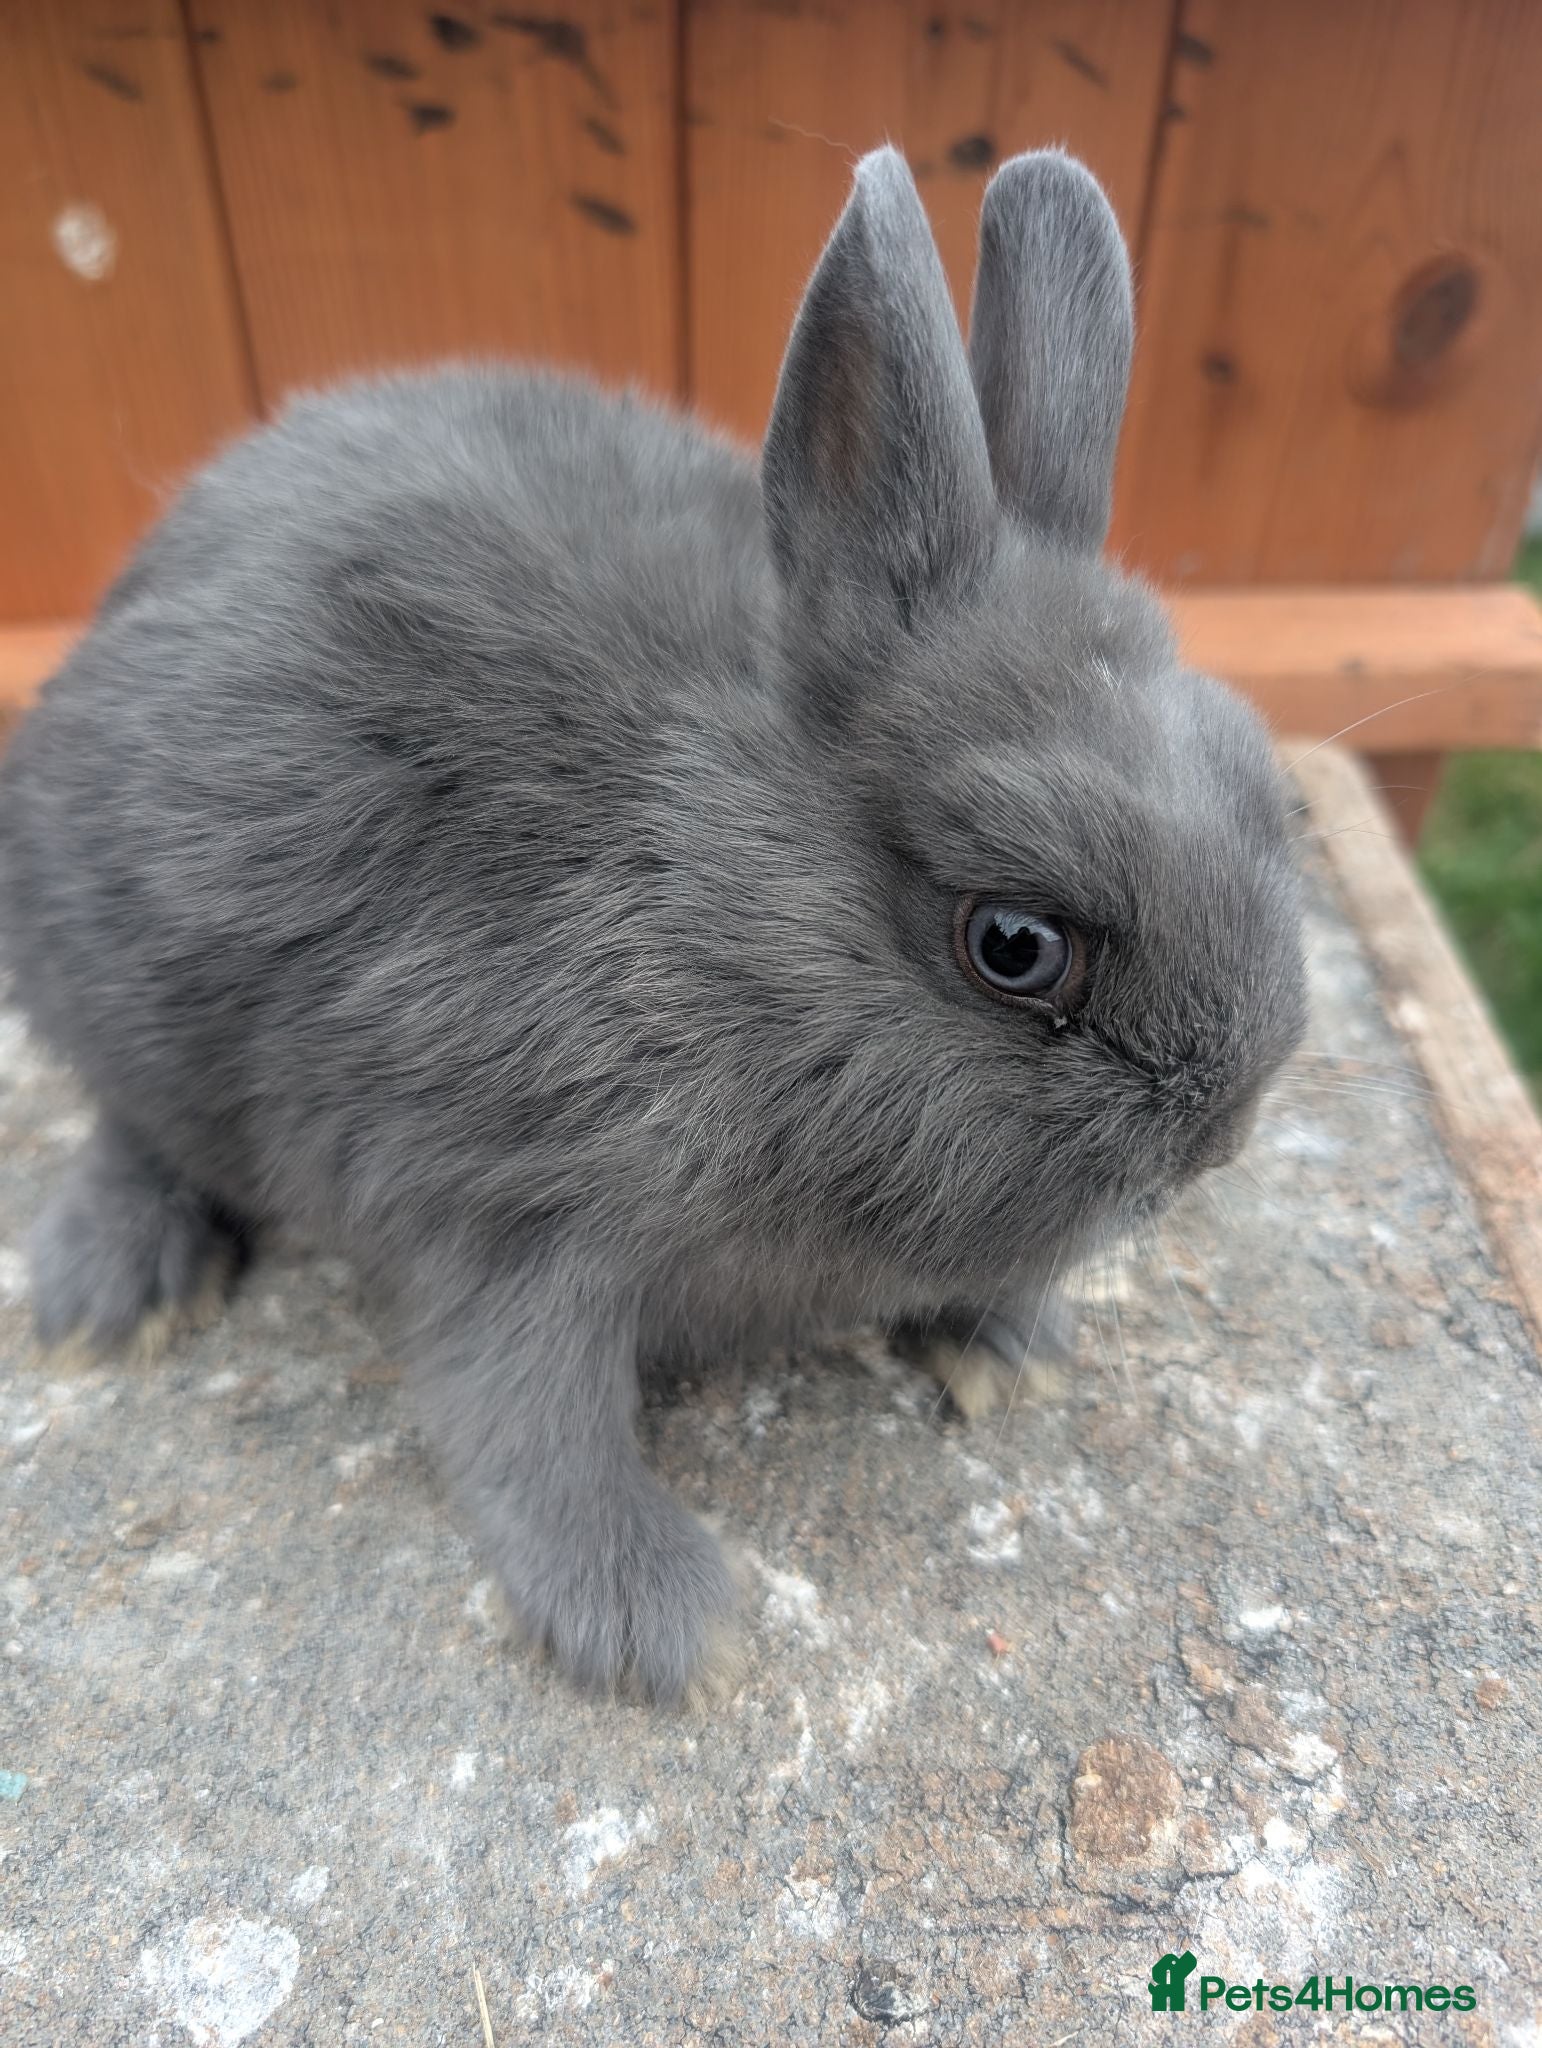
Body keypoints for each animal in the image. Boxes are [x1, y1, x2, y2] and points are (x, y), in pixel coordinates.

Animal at [0, 148, 1306, 1701]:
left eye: (1266, 794)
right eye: (1013, 945)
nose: (1220, 1135)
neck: (712, 904)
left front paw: (1010, 1345)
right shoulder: (502, 1200)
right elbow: (524, 1413)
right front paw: (655, 1622)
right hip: (122, 987)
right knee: (127, 1122)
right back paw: (114, 1293)